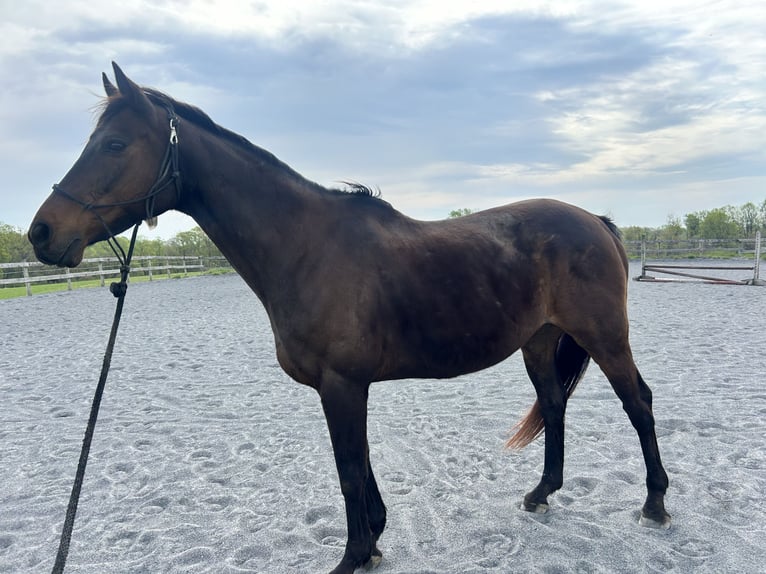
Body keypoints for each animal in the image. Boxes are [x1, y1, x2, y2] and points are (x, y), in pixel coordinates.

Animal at [29, 63, 670, 574]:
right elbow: (359, 464)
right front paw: (376, 540)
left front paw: (354, 555)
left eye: (114, 144)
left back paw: (656, 504)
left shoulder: (341, 385)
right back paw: (541, 494)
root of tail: (592, 220)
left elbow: (347, 469)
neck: (305, 245)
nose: (42, 233)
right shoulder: (343, 386)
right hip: (540, 340)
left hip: (604, 337)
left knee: (638, 403)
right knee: (555, 404)